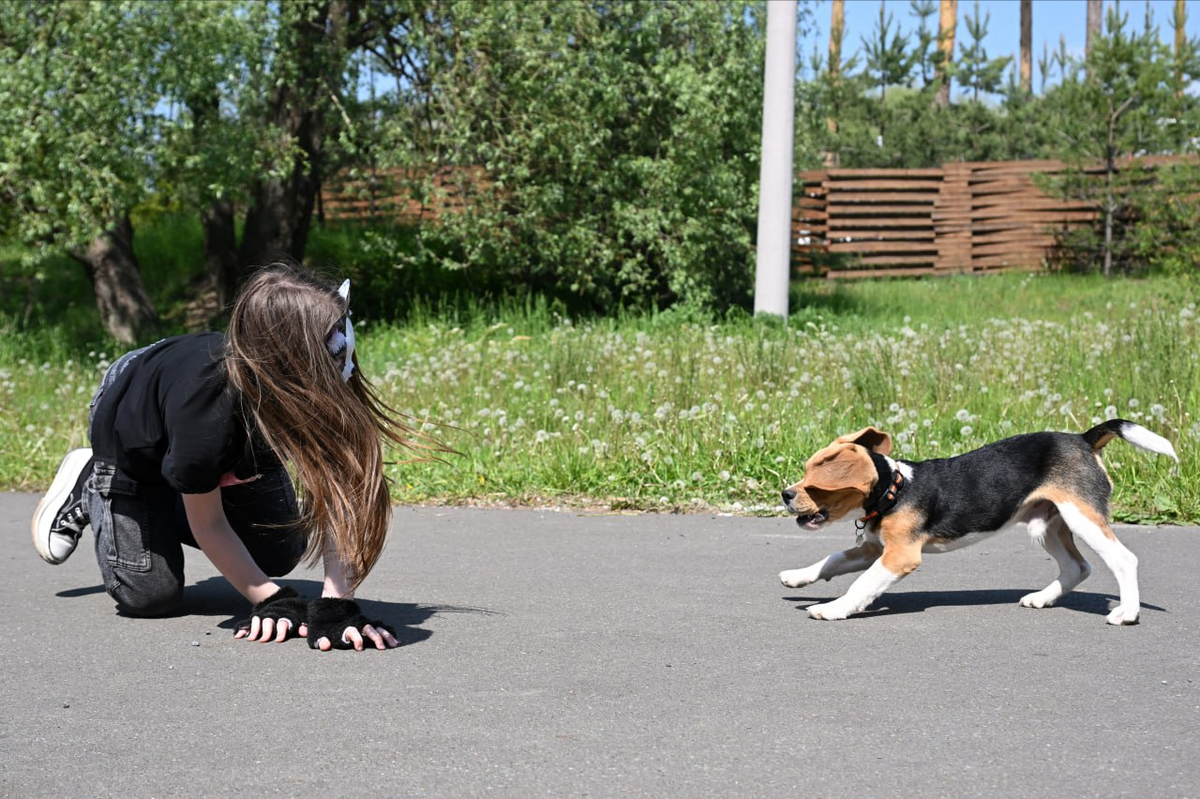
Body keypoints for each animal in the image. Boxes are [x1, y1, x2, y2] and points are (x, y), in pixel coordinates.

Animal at [782, 417, 1176, 623]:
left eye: (815, 485)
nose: (786, 494)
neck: (895, 489)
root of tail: (1083, 439)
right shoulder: (873, 549)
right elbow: (831, 560)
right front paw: (798, 577)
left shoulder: (899, 556)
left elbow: (861, 584)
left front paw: (833, 608)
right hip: (1046, 524)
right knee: (1077, 567)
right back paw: (1042, 598)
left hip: (1082, 517)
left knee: (1123, 559)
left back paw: (1126, 613)